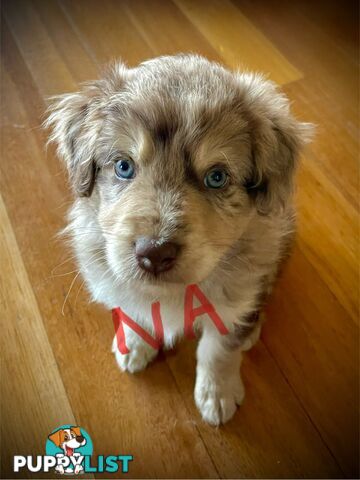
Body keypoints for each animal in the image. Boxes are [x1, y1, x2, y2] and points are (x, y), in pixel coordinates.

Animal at [46, 54, 312, 426]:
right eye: (124, 166)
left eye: (217, 177)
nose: (155, 254)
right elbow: (134, 309)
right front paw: (135, 343)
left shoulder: (233, 301)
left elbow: (218, 350)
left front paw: (217, 393)